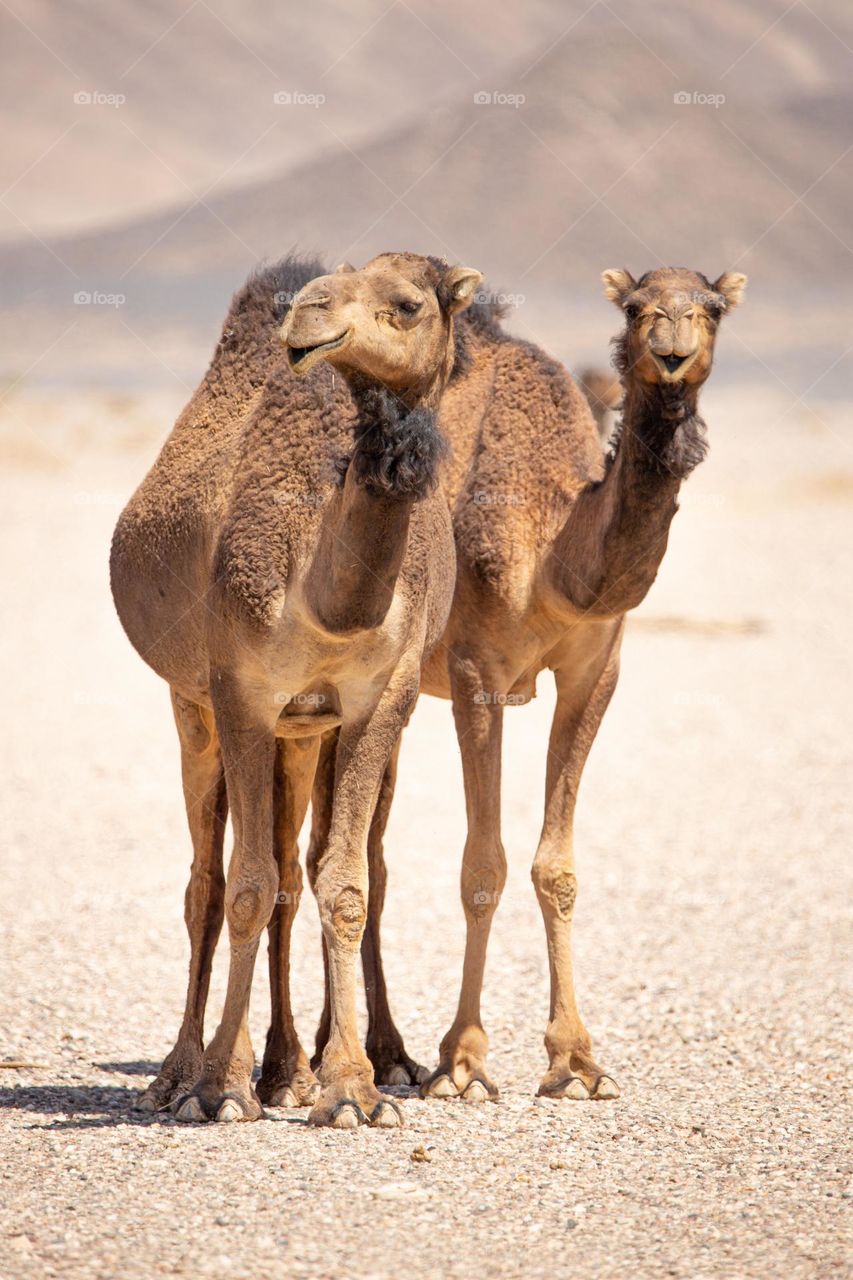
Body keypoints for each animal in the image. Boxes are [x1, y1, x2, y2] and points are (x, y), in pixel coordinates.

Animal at [110, 251, 481, 1127]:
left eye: (407, 303)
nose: (307, 311)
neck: (326, 599)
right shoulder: (240, 693)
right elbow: (244, 886)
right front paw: (217, 1088)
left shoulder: (380, 701)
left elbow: (340, 883)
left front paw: (351, 1091)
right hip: (193, 707)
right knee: (209, 881)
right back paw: (183, 1073)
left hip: (306, 733)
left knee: (292, 866)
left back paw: (287, 1070)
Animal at [304, 264, 747, 1103]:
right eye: (635, 308)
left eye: (709, 308)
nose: (670, 347)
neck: (552, 554)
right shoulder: (479, 674)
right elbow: (483, 865)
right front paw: (464, 1061)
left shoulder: (594, 674)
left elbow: (556, 867)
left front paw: (575, 1061)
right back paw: (343, 1060)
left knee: (363, 851)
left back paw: (377, 1054)